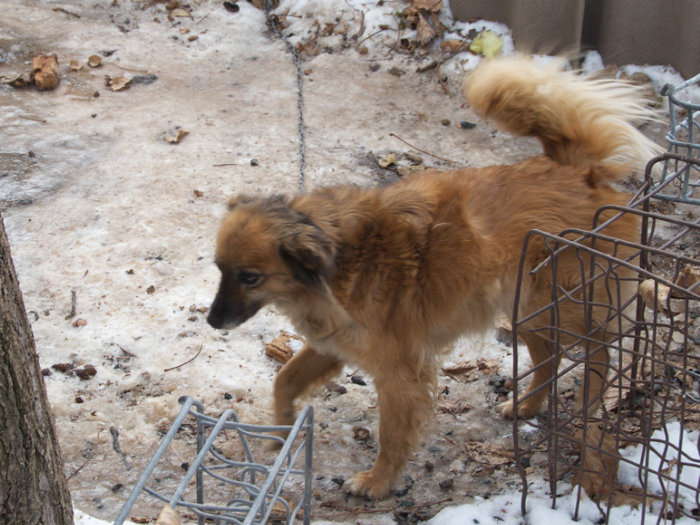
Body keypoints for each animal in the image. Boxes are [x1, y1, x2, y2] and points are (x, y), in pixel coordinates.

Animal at [208, 56, 660, 496]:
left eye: (249, 277)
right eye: (220, 269)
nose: (212, 321)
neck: (337, 260)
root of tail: (579, 172)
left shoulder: (398, 370)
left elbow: (392, 433)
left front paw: (377, 482)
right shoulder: (334, 342)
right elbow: (284, 379)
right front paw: (280, 430)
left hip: (556, 303)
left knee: (599, 348)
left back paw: (589, 402)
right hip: (523, 306)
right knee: (550, 356)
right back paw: (527, 407)